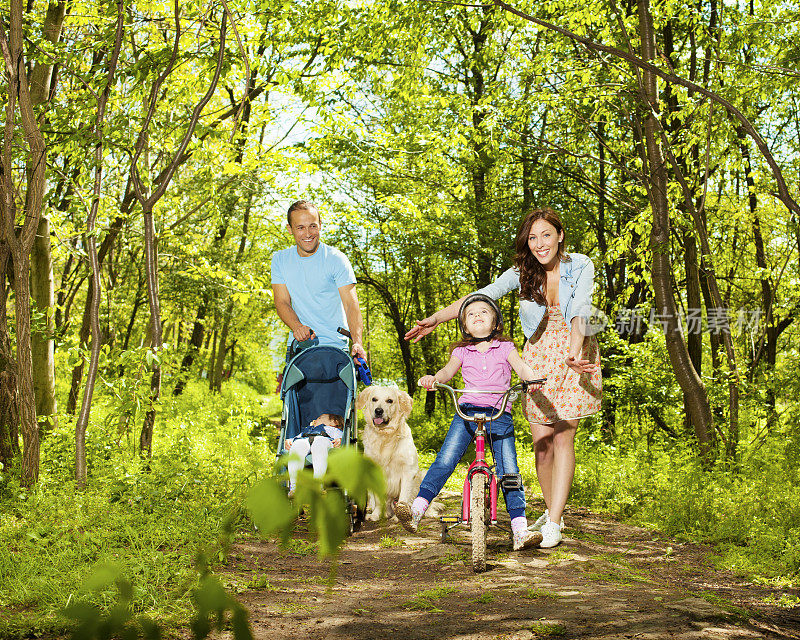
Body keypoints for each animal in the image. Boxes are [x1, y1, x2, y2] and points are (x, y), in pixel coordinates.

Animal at [360, 384, 428, 520]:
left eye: (390, 400)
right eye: (374, 399)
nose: (378, 411)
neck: (385, 436)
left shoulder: (408, 471)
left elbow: (403, 497)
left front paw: (399, 516)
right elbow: (378, 500)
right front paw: (376, 515)